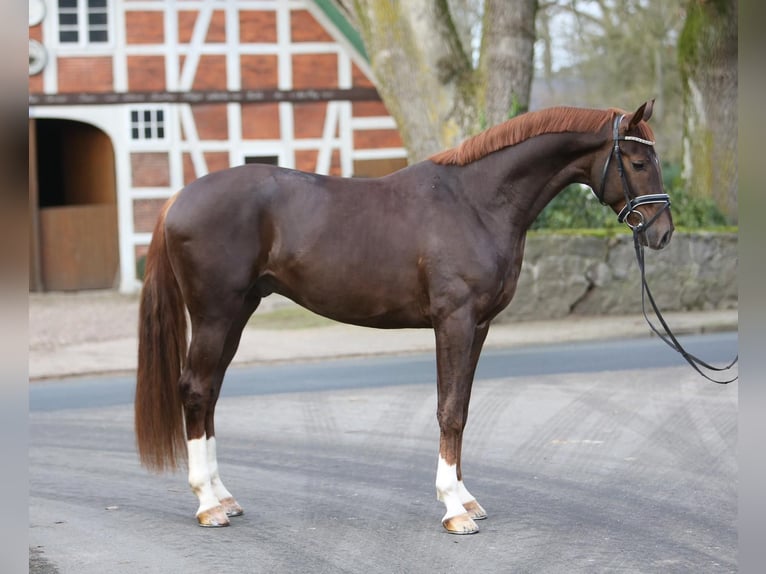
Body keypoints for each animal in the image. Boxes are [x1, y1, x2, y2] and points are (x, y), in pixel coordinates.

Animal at [135, 100, 676, 536]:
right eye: (637, 161)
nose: (663, 233)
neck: (475, 202)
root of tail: (178, 198)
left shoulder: (479, 326)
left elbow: (463, 407)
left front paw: (467, 499)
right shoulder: (454, 321)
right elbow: (449, 410)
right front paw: (454, 510)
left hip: (238, 311)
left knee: (210, 393)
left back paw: (224, 497)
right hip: (215, 313)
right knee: (196, 389)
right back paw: (208, 505)